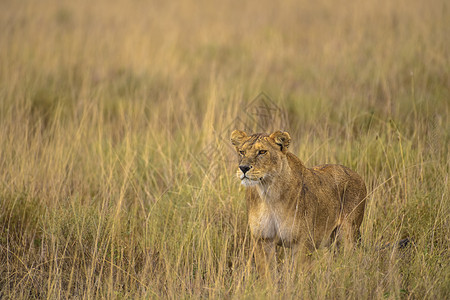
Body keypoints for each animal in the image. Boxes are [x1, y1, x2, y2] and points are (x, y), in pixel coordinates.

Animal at [230, 130, 368, 276]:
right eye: (242, 152)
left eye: (262, 152)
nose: (243, 168)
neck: (268, 194)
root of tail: (357, 175)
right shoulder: (263, 240)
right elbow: (268, 275)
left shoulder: (302, 243)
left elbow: (298, 275)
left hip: (347, 235)